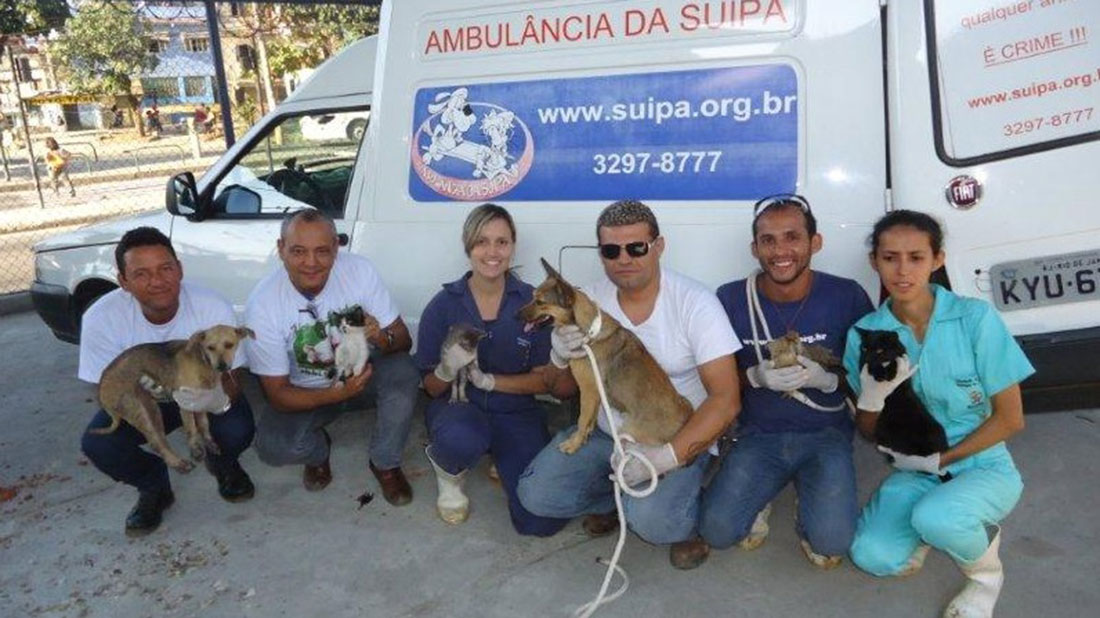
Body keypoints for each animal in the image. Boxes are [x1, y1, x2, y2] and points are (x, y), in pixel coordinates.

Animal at [92, 323, 253, 470]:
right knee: (156, 443)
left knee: (161, 440)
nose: (222, 366)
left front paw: (208, 442)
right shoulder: (186, 405)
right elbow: (191, 429)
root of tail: (101, 386)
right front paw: (195, 450)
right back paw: (178, 463)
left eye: (229, 345)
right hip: (139, 412)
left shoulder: (202, 402)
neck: (203, 362)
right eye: (210, 347)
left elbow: (204, 424)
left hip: (152, 410)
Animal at [514, 256, 686, 453]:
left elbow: (582, 419)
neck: (588, 333)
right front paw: (583, 438)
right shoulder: (595, 395)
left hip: (628, 431)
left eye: (540, 302)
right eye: (533, 297)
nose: (515, 315)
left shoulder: (588, 390)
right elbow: (590, 420)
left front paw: (574, 444)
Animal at [853, 325, 950, 479]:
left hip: (935, 432)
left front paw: (890, 373)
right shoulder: (862, 365)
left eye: (879, 350)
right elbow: (871, 367)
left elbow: (896, 360)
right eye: (864, 348)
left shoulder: (903, 364)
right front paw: (880, 373)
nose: (867, 356)